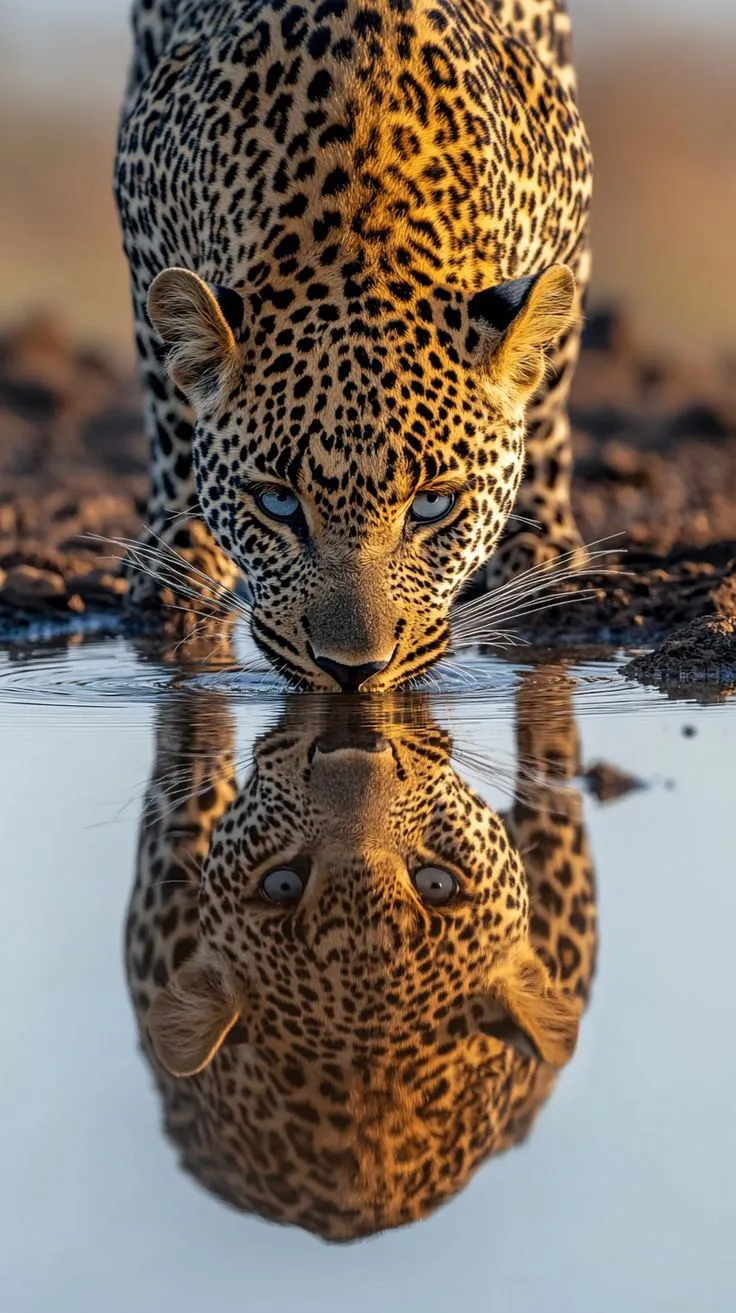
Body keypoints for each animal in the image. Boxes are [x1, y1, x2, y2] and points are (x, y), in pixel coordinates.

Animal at [116, 0, 593, 691]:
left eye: (433, 506)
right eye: (278, 503)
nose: (352, 672)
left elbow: (547, 392)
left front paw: (546, 559)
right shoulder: (143, 232)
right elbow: (172, 412)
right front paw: (179, 566)